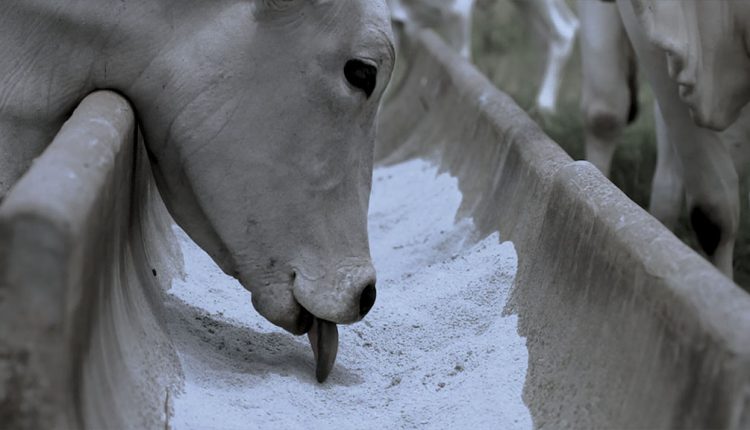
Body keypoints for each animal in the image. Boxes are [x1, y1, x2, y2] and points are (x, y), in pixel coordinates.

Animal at [390, 0, 584, 113]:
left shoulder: (457, 11)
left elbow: (462, 59)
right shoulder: (397, 24)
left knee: (563, 28)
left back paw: (544, 107)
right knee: (546, 36)